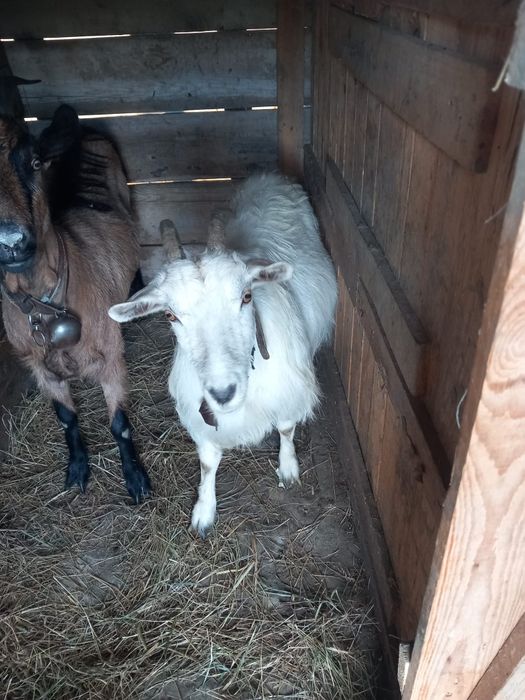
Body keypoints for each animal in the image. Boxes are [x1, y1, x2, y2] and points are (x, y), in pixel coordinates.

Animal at [0, 97, 151, 502]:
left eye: (36, 162)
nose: (11, 243)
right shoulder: (39, 367)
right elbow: (67, 419)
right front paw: (77, 469)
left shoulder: (111, 356)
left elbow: (120, 424)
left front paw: (136, 480)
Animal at [109, 173, 337, 534]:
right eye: (170, 315)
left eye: (246, 296)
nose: (223, 392)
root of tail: (270, 176)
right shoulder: (199, 415)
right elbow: (207, 462)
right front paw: (204, 511)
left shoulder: (289, 392)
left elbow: (286, 428)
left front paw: (288, 468)